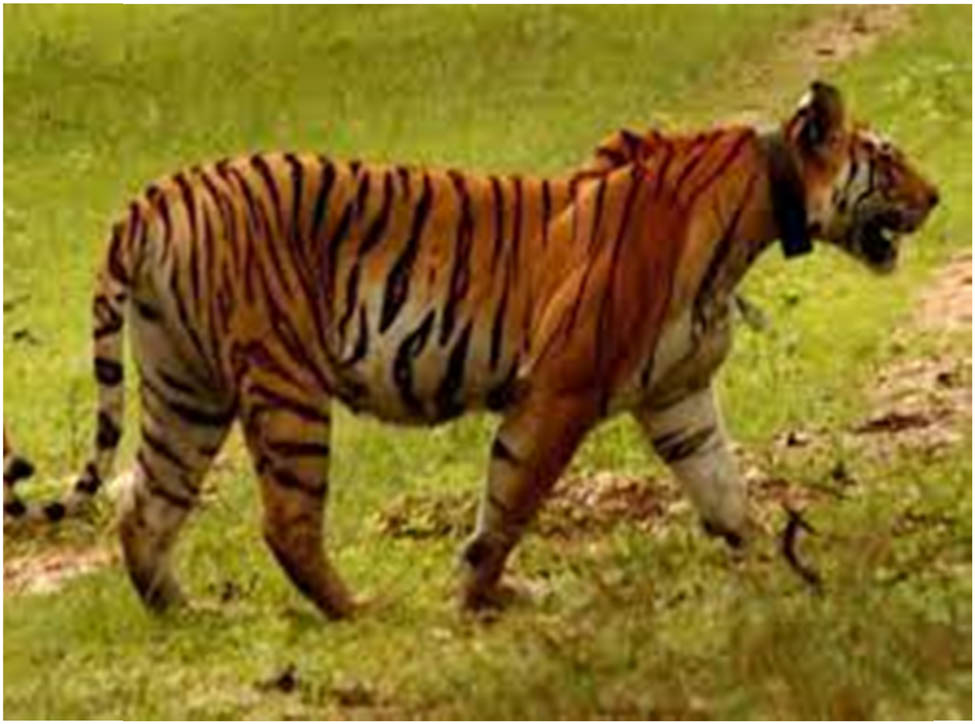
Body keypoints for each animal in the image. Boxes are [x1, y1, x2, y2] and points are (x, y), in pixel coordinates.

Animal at [4, 81, 938, 618]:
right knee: (284, 520)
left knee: (144, 506)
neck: (754, 216)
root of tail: (152, 196)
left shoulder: (677, 396)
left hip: (185, 389)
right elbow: (512, 496)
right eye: (886, 157)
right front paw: (481, 592)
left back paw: (183, 611)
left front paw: (791, 568)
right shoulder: (562, 387)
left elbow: (724, 494)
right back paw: (358, 608)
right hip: (283, 384)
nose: (933, 197)